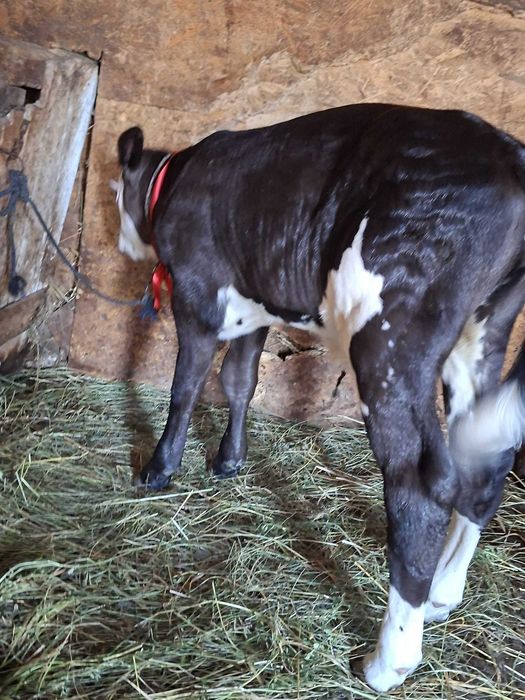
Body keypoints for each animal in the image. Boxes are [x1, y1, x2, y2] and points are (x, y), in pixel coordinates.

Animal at [112, 104, 525, 693]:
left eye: (115, 189)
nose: (120, 242)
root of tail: (507, 152)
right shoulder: (254, 303)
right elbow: (239, 380)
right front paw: (229, 461)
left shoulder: (199, 292)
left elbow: (186, 386)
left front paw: (158, 469)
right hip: (483, 333)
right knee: (487, 463)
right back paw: (443, 594)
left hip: (391, 336)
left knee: (422, 482)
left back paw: (388, 661)